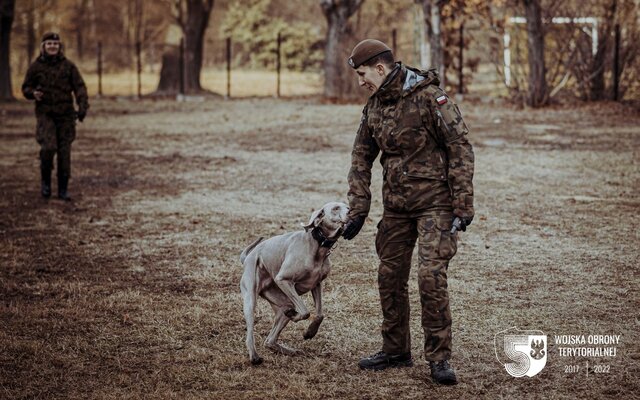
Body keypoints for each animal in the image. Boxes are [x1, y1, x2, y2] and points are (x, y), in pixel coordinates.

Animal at [240, 202, 350, 364]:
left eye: (347, 206)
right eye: (336, 208)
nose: (351, 211)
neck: (318, 245)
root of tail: (248, 256)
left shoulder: (317, 284)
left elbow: (319, 314)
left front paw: (310, 332)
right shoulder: (283, 279)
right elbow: (305, 311)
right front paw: (300, 320)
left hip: (283, 302)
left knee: (270, 340)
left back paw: (289, 350)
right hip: (251, 299)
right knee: (250, 332)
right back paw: (254, 356)